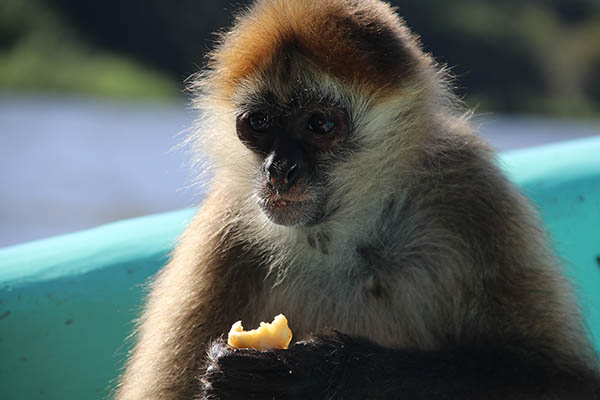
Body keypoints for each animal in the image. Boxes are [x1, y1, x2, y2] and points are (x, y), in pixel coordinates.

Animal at [115, 0, 596, 398]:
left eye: (321, 125)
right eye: (259, 122)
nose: (279, 170)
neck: (346, 236)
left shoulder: (472, 189)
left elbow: (568, 382)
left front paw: (320, 373)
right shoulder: (224, 224)